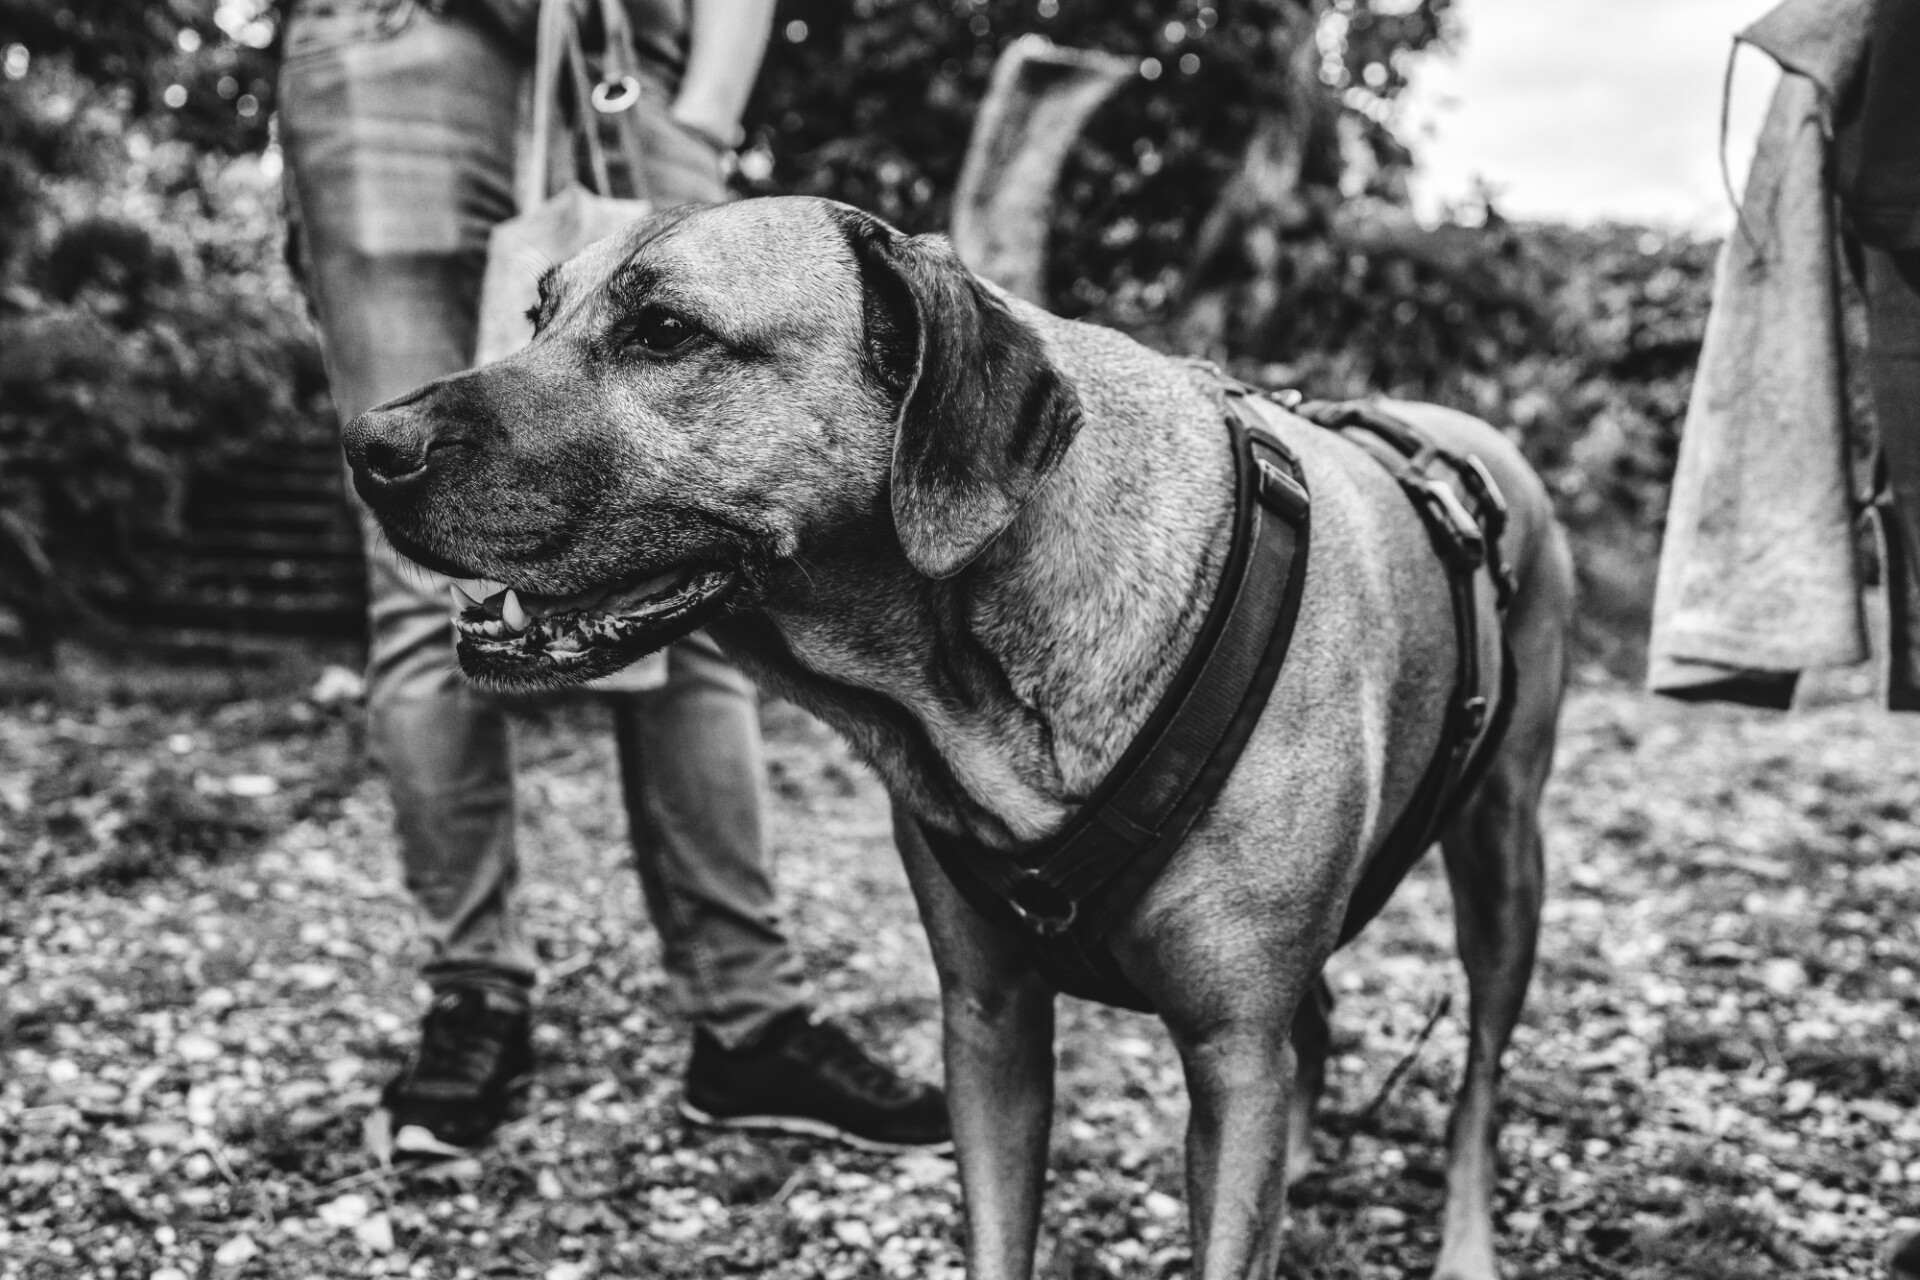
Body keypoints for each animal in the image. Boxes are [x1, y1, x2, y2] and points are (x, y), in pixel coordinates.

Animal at [345, 195, 1574, 1274]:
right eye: (535, 315)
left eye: (665, 332)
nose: (367, 440)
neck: (973, 693)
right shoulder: (988, 1024)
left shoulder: (1231, 1051)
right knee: (1317, 1023)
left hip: (1504, 858)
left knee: (1477, 1085)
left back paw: (1465, 1245)